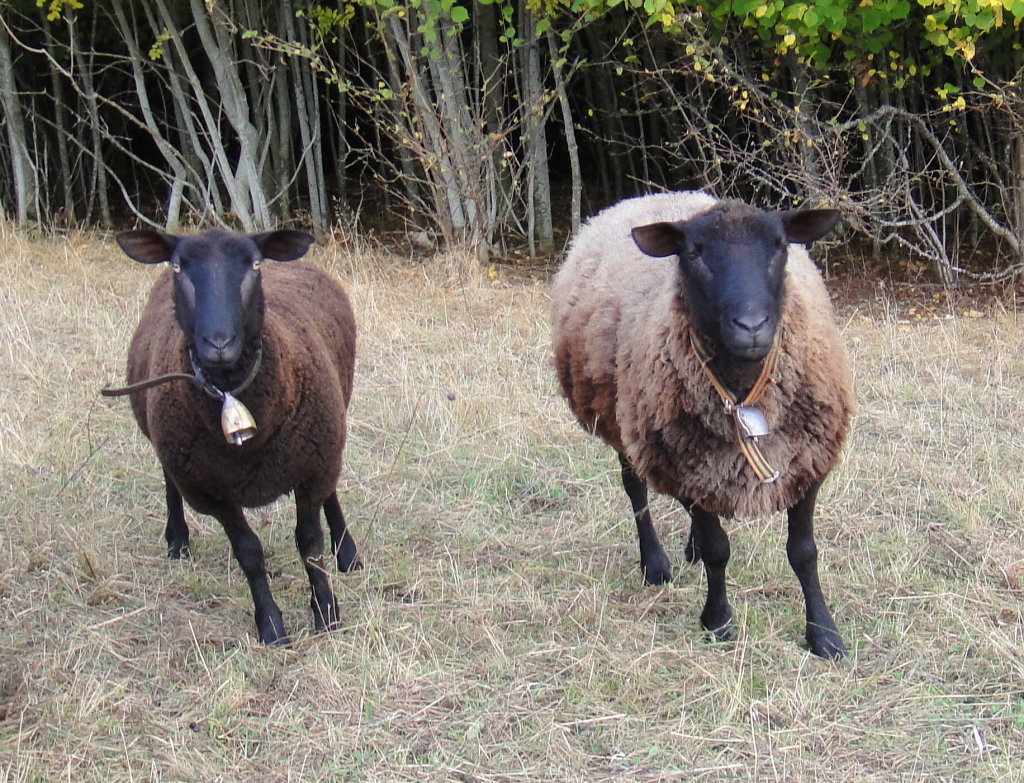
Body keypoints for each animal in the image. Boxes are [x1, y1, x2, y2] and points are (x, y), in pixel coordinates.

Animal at [109, 229, 360, 646]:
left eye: (255, 263)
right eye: (177, 266)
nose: (219, 343)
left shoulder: (312, 465)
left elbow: (310, 544)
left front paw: (326, 612)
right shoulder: (211, 492)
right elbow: (249, 553)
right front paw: (271, 626)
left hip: (330, 429)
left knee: (332, 493)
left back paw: (348, 553)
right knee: (169, 482)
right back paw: (177, 540)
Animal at [551, 191, 852, 659]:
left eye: (780, 245)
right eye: (693, 253)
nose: (751, 326)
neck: (745, 391)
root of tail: (655, 196)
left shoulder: (809, 460)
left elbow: (803, 552)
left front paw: (823, 633)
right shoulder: (679, 461)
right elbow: (717, 550)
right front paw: (718, 620)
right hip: (628, 425)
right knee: (635, 488)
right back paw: (655, 563)